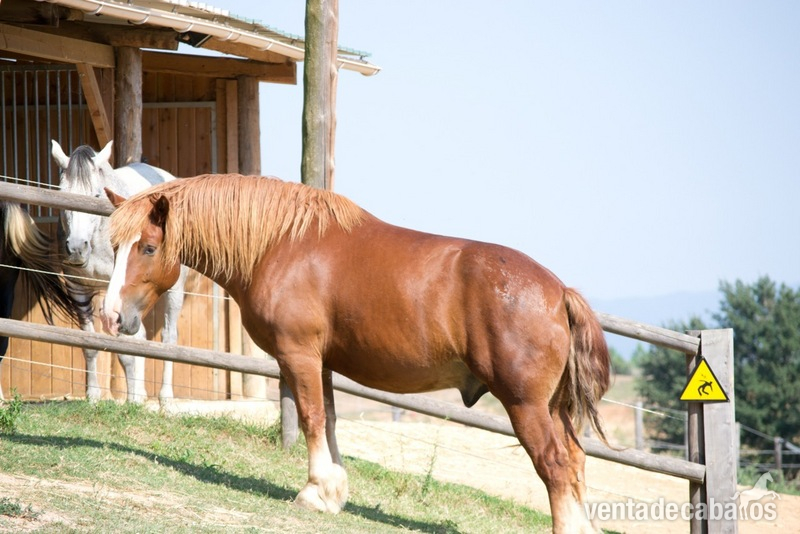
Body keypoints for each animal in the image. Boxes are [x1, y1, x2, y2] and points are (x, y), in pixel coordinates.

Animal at [51, 140, 190, 403]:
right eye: (62, 193)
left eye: (96, 195)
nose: (76, 248)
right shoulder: (77, 289)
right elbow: (90, 344)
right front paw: (93, 396)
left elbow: (127, 349)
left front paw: (132, 400)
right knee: (142, 335)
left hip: (174, 289)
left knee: (168, 337)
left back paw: (164, 397)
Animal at [100, 174, 611, 533]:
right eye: (114, 246)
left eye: (148, 247)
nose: (111, 316)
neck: (282, 245)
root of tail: (558, 291)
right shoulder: (322, 362)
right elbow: (329, 419)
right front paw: (333, 492)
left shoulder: (299, 355)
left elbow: (310, 418)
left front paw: (313, 492)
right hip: (551, 407)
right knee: (576, 462)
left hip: (525, 404)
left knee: (555, 465)